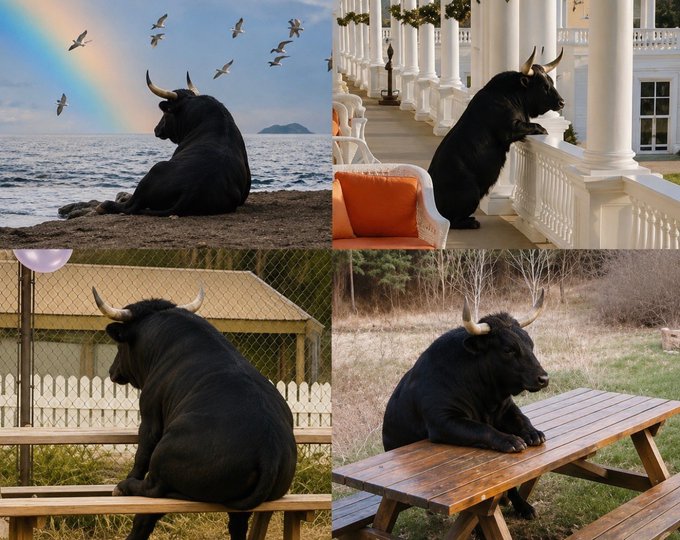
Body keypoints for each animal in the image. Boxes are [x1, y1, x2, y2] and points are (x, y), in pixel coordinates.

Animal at [92, 287, 296, 540]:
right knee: (237, 525)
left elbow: (141, 457)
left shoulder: (150, 418)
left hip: (163, 456)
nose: (112, 370)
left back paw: (123, 488)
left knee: (151, 495)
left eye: (121, 346)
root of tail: (270, 450)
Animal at [96, 72, 251, 217]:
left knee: (130, 206)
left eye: (166, 113)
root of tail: (192, 190)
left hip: (155, 169)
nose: (156, 129)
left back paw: (107, 204)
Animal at [382, 291, 548, 519]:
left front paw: (533, 433)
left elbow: (522, 418)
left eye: (530, 344)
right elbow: (482, 429)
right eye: (508, 349)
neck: (486, 398)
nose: (543, 378)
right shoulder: (443, 421)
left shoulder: (505, 408)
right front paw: (510, 440)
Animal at [428, 47, 565, 229]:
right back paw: (471, 222)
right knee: (453, 221)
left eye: (551, 82)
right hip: (471, 192)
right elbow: (534, 126)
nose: (561, 102)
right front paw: (543, 129)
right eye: (544, 86)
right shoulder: (510, 129)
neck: (510, 95)